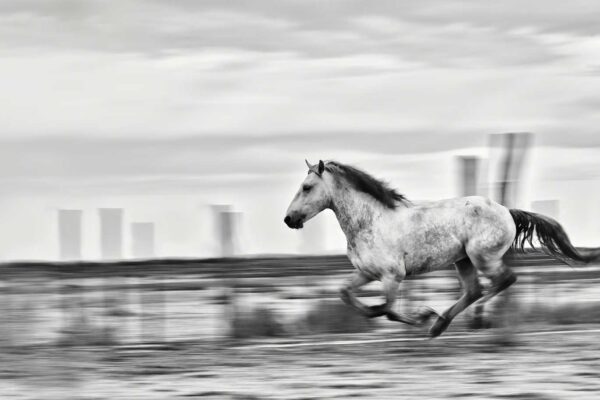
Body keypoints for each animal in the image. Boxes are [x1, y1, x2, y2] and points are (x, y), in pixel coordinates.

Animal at [284, 159, 600, 338]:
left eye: (307, 187)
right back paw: (441, 324)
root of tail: (506, 210)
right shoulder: (366, 273)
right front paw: (420, 317)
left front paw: (423, 315)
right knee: (474, 290)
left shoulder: (392, 275)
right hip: (463, 260)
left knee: (503, 280)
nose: (289, 219)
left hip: (481, 257)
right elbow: (346, 295)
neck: (370, 222)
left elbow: (389, 310)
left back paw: (473, 317)